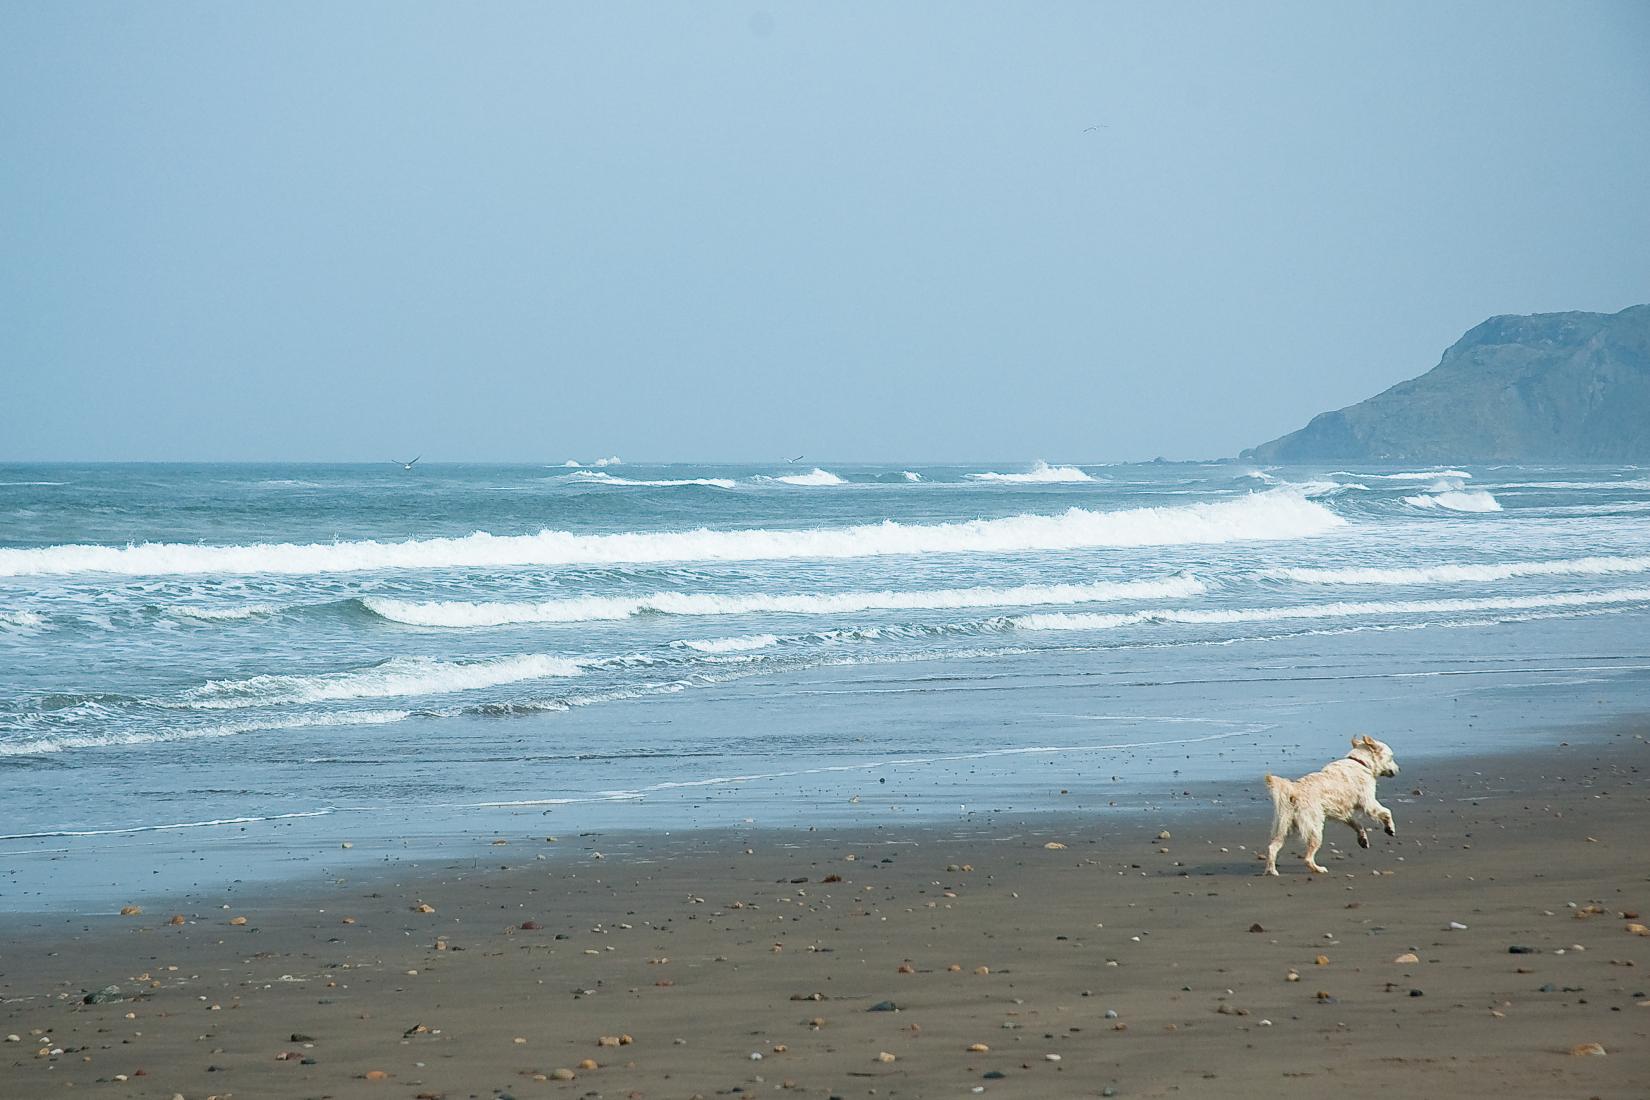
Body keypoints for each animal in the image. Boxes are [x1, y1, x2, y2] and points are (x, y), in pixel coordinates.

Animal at [1267, 735, 1399, 883]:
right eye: (1391, 757)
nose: (1399, 769)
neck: (1361, 762)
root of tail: (1293, 791)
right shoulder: (1368, 802)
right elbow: (1387, 812)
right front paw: (1390, 828)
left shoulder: (1342, 812)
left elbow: (1357, 824)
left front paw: (1363, 839)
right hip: (1314, 830)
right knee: (1307, 859)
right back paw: (1319, 869)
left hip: (1283, 828)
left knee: (1272, 847)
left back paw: (1271, 871)